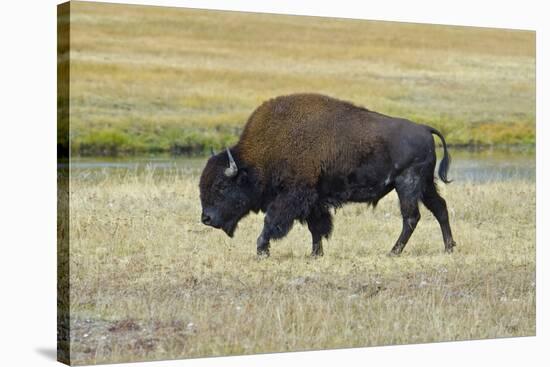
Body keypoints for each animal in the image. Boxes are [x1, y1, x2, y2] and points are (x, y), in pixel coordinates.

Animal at [198, 93, 458, 258]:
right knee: (440, 208)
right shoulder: (314, 200)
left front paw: (262, 249)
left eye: (222, 186)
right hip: (425, 184)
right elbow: (317, 227)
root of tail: (424, 128)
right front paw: (315, 254)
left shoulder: (293, 196)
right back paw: (449, 247)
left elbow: (272, 220)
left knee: (411, 217)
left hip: (408, 184)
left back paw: (393, 252)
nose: (206, 218)